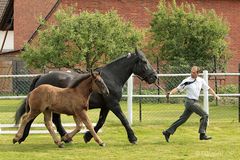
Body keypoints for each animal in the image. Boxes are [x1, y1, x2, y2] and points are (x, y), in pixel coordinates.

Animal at [15, 48, 158, 144]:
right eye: (144, 62)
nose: (154, 77)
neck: (111, 77)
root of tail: (41, 77)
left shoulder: (106, 106)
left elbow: (100, 122)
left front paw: (87, 136)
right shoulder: (113, 104)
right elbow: (124, 119)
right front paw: (133, 138)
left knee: (54, 121)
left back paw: (66, 137)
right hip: (42, 107)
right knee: (30, 118)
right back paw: (21, 137)